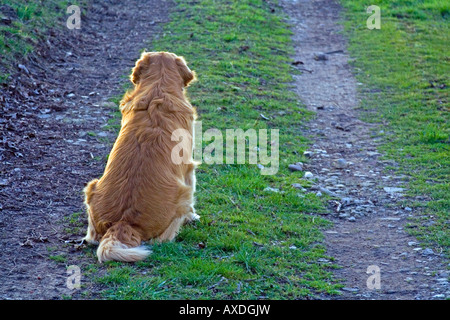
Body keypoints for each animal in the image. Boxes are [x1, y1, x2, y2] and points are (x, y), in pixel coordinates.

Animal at [83, 52, 199, 262]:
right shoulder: (188, 167)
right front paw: (193, 216)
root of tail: (123, 223)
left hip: (91, 186)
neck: (158, 88)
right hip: (182, 196)